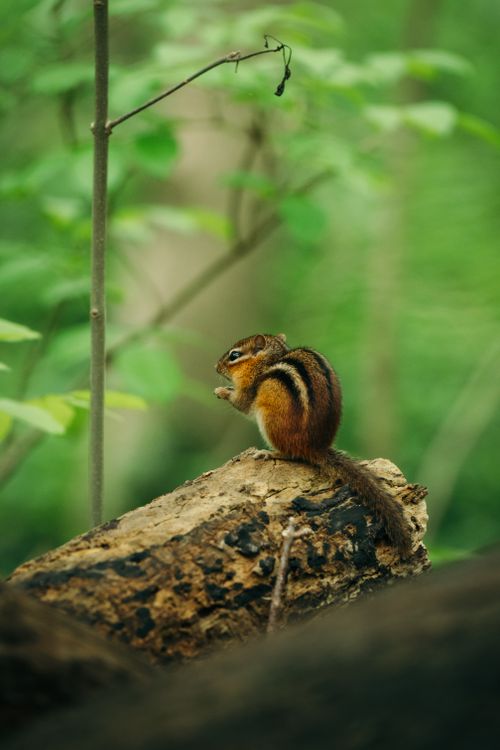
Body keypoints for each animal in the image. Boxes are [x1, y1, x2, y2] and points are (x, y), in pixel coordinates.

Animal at [214, 333, 412, 559]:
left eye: (234, 356)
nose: (216, 367)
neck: (268, 361)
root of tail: (316, 448)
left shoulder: (251, 388)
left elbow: (242, 404)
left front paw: (221, 391)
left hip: (268, 420)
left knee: (290, 454)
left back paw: (269, 453)